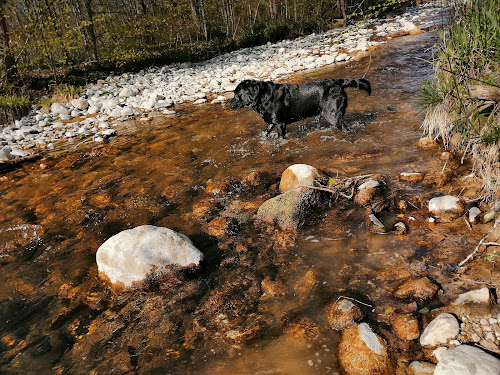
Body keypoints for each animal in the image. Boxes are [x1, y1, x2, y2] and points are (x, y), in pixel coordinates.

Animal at [230, 78, 372, 139]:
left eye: (236, 95)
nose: (230, 105)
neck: (263, 97)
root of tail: (338, 83)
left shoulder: (280, 123)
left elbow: (281, 137)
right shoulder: (272, 122)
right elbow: (266, 131)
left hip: (332, 115)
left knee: (345, 127)